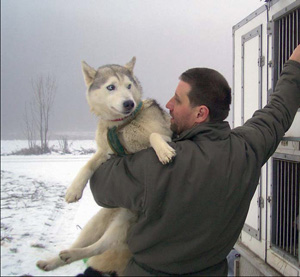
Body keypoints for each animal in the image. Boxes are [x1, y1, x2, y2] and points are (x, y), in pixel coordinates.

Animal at [36, 57, 175, 272]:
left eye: (128, 86)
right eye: (111, 87)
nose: (129, 103)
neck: (120, 125)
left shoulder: (167, 134)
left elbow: (153, 135)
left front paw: (163, 151)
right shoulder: (104, 152)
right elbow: (88, 164)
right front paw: (73, 190)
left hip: (122, 222)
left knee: (101, 246)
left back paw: (69, 255)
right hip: (99, 222)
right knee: (91, 244)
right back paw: (56, 260)